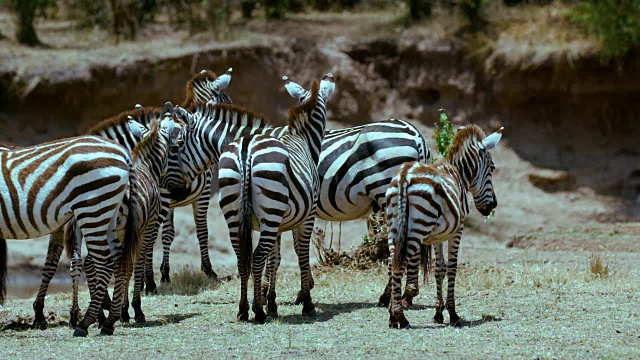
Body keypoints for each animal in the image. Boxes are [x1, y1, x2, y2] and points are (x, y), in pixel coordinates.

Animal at [0, 134, 139, 338]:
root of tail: (122, 152)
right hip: (109, 214)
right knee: (119, 259)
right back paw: (109, 321)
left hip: (92, 210)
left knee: (105, 263)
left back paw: (85, 323)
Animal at [382, 124, 502, 330]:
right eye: (492, 167)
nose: (493, 205)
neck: (459, 174)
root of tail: (404, 175)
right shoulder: (458, 229)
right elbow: (452, 268)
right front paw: (453, 314)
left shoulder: (437, 236)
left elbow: (439, 269)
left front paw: (438, 313)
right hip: (417, 228)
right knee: (400, 263)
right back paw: (400, 317)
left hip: (394, 226)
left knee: (392, 263)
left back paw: (392, 317)